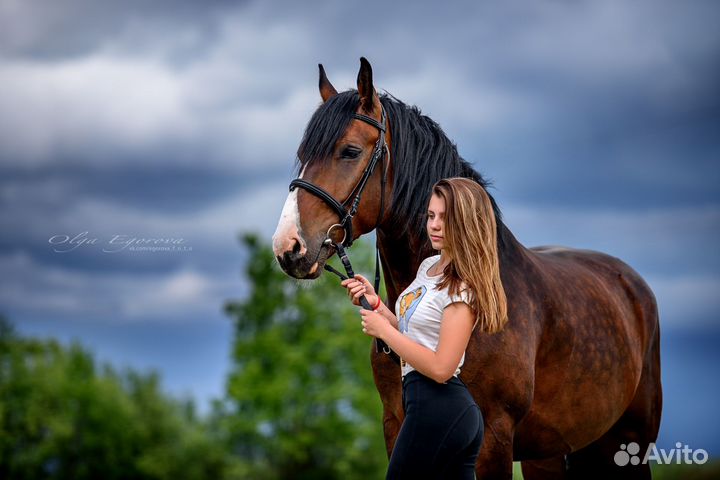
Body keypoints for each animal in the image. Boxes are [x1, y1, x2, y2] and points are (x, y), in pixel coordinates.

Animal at [272, 58, 662, 479]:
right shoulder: (396, 426)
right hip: (552, 452)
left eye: (350, 151)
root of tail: (631, 284)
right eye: (304, 154)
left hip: (630, 442)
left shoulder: (494, 437)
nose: (288, 247)